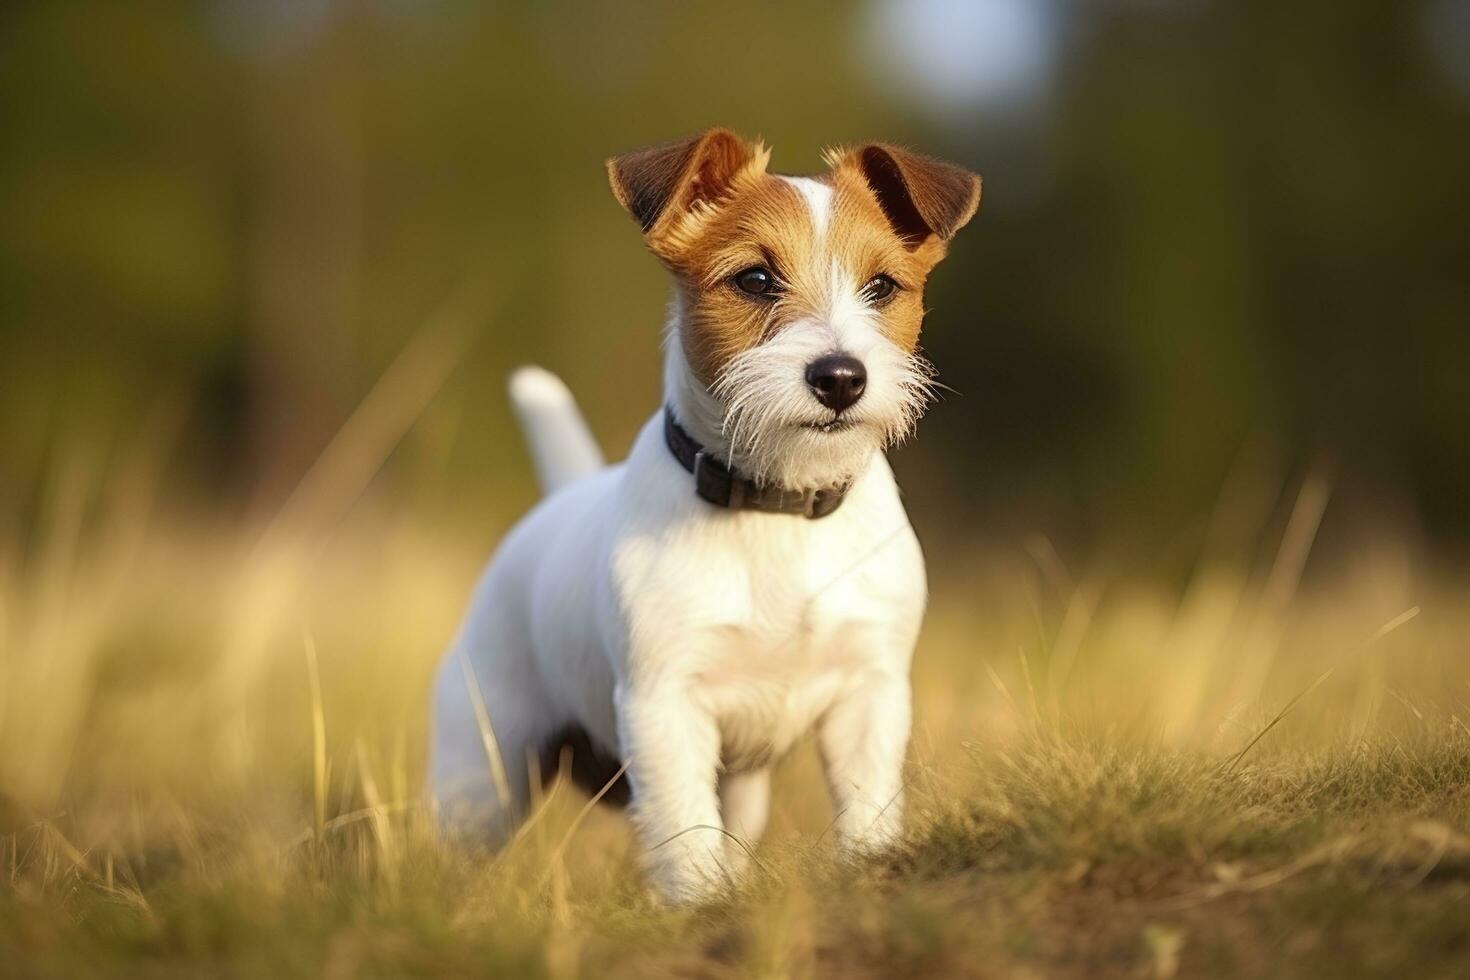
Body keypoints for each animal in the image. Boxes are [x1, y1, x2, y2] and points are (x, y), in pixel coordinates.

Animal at [429, 130, 981, 905]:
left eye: (882, 287)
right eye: (754, 279)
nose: (841, 378)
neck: (779, 504)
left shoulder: (869, 695)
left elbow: (866, 807)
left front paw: (871, 868)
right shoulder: (666, 708)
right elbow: (686, 832)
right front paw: (699, 904)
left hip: (738, 782)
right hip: (482, 769)